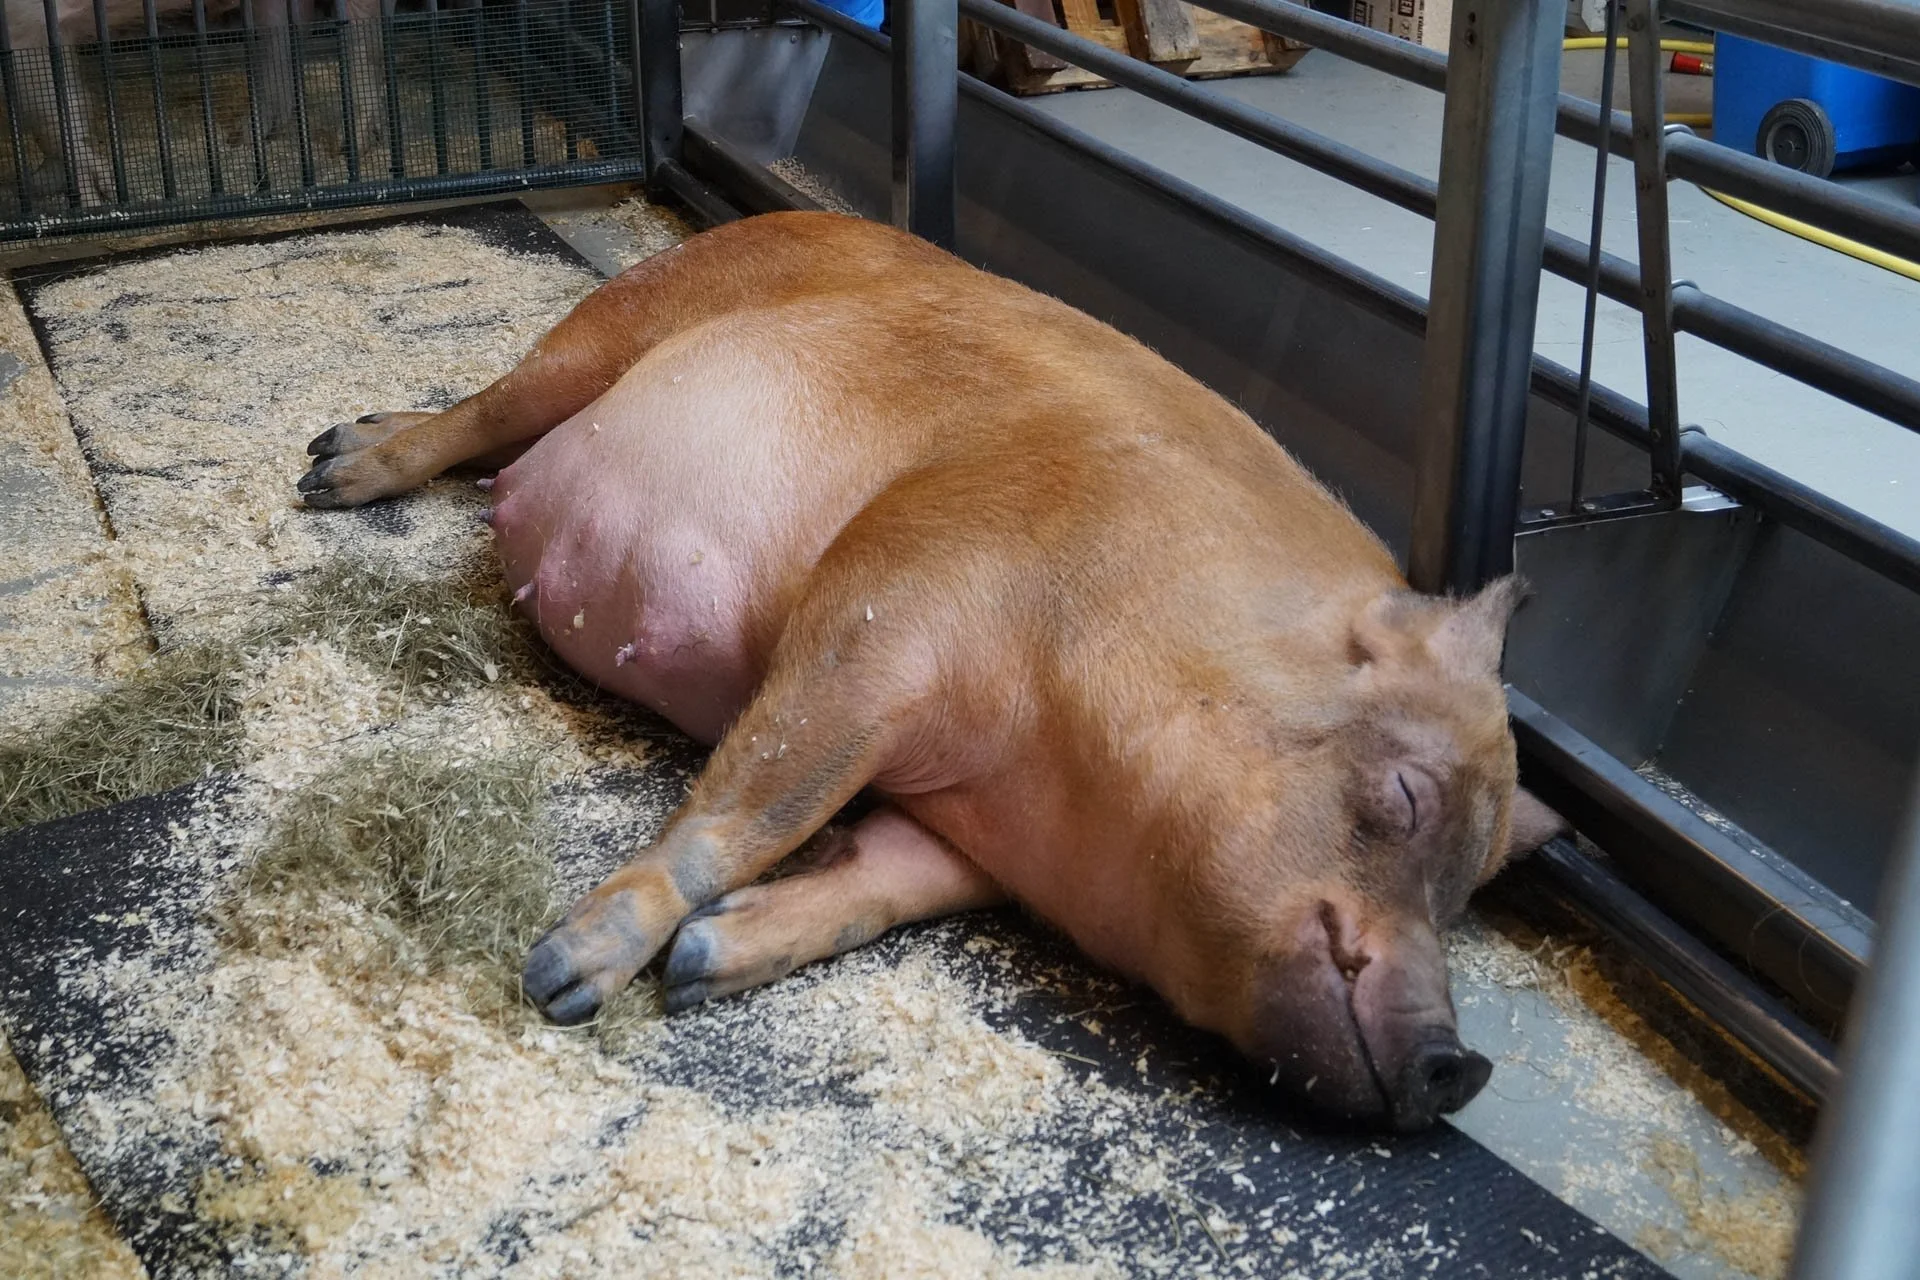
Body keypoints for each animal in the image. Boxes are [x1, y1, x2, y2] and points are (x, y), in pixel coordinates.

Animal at [295, 211, 1566, 1130]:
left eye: (1462, 898)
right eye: (1401, 795)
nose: (1459, 1063)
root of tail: (771, 212)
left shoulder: (967, 834)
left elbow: (885, 883)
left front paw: (705, 966)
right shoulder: (891, 596)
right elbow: (758, 805)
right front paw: (562, 980)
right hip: (614, 324)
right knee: (480, 411)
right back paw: (330, 467)